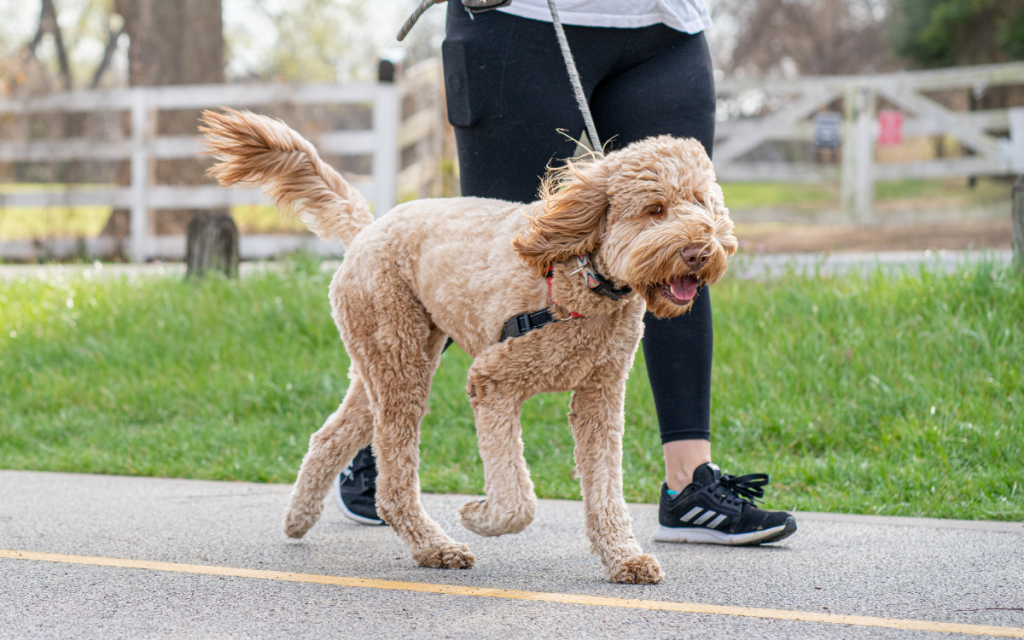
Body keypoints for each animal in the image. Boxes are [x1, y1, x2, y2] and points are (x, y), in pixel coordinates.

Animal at [201, 107, 737, 581]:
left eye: (701, 202)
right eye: (655, 210)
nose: (700, 251)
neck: (582, 277)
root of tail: (368, 229)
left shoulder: (599, 397)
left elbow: (605, 489)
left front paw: (624, 557)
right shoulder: (492, 381)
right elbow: (517, 500)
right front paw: (480, 515)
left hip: (389, 361)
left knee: (330, 437)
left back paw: (299, 518)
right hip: (400, 363)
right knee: (394, 482)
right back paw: (434, 547)